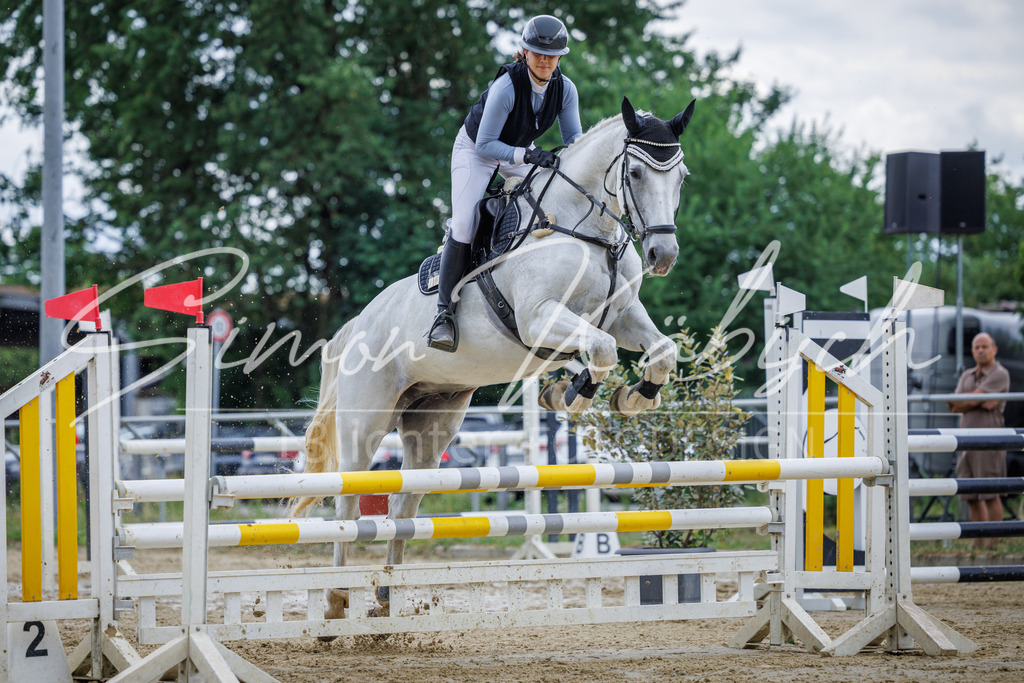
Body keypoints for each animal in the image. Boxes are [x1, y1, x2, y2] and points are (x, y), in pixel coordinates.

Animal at [295, 96, 696, 619]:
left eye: (681, 176)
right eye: (635, 173)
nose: (662, 254)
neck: (586, 230)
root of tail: (357, 324)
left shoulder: (622, 316)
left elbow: (659, 350)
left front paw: (633, 396)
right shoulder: (538, 317)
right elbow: (600, 350)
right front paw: (568, 393)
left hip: (431, 425)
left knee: (404, 508)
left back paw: (387, 596)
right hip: (366, 420)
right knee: (348, 503)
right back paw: (337, 597)